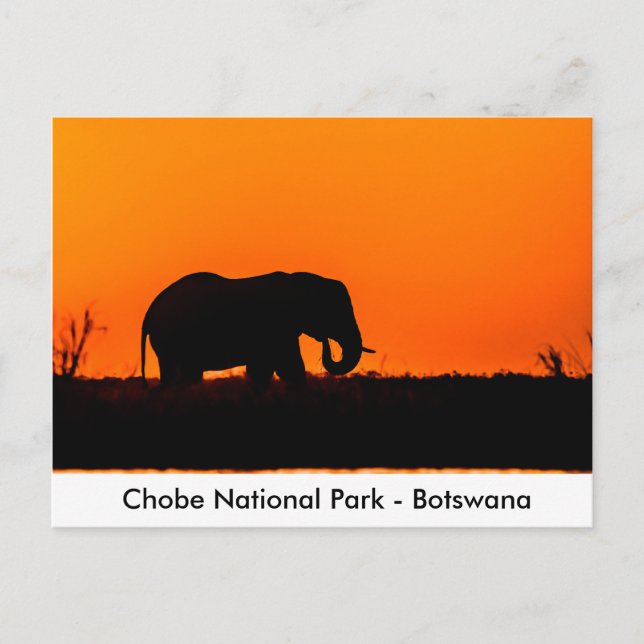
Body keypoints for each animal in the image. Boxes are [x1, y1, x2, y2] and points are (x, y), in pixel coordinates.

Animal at [141, 271, 374, 386]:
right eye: (335, 312)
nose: (326, 342)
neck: (298, 281)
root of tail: (151, 309)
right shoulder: (277, 326)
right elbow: (288, 369)